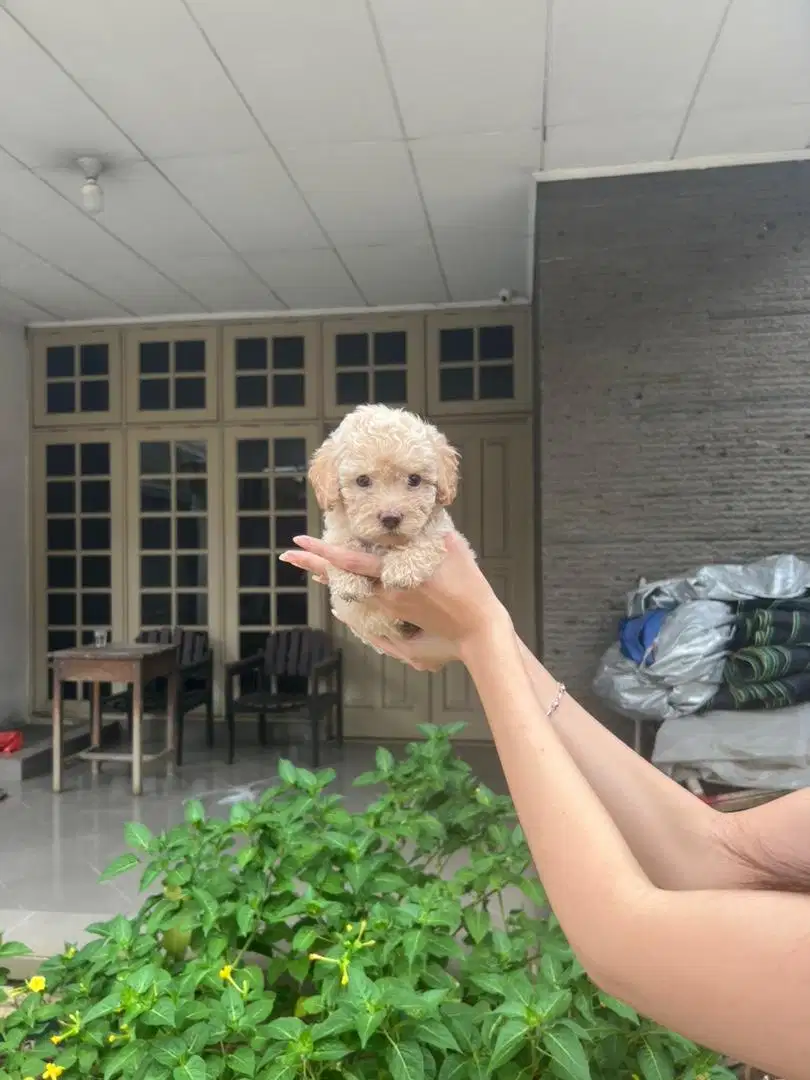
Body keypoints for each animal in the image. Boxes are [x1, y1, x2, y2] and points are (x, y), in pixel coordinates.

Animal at [306, 406, 468, 656]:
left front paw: (402, 568)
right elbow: (342, 542)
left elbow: (424, 536)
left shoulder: (439, 526)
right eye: (362, 480)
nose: (391, 518)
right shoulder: (337, 528)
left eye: (414, 479)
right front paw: (349, 581)